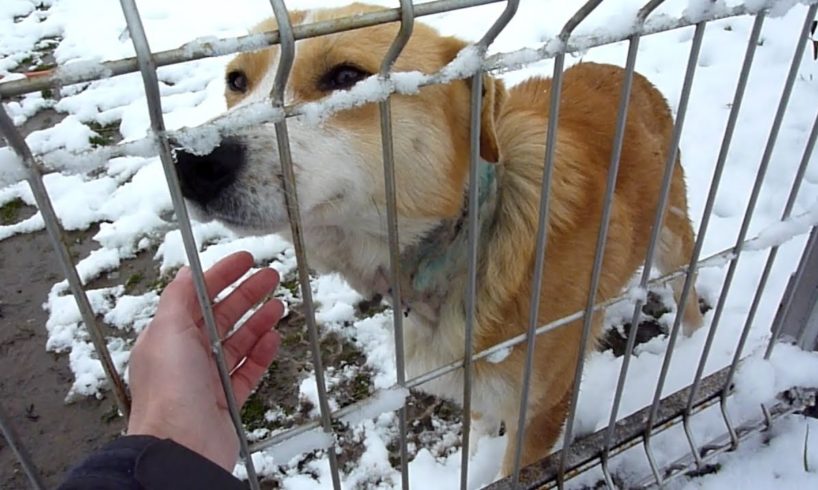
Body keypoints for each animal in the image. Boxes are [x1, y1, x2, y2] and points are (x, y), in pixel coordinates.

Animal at [175, 3, 704, 476]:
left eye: (345, 76)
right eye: (236, 81)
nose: (191, 161)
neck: (465, 241)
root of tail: (619, 66)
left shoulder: (541, 407)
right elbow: (478, 417)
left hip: (671, 233)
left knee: (688, 284)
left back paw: (692, 347)